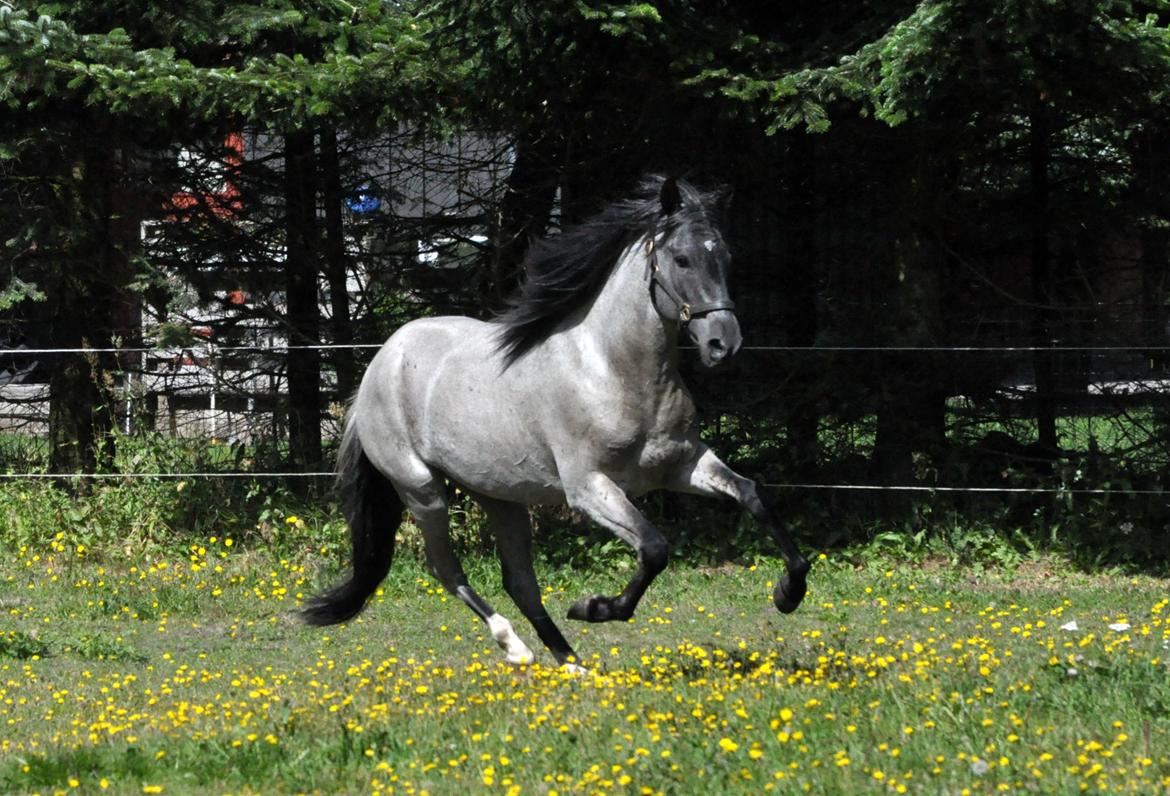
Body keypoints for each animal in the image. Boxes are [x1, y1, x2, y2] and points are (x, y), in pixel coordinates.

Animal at [301, 176, 809, 669]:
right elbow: (654, 548)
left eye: (725, 256)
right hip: (421, 489)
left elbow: (755, 496)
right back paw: (516, 647)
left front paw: (788, 594)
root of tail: (379, 364)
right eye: (681, 259)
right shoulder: (589, 488)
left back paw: (570, 663)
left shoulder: (683, 466)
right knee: (447, 569)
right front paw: (595, 608)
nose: (724, 343)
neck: (613, 369)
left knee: (519, 580)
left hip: (498, 494)